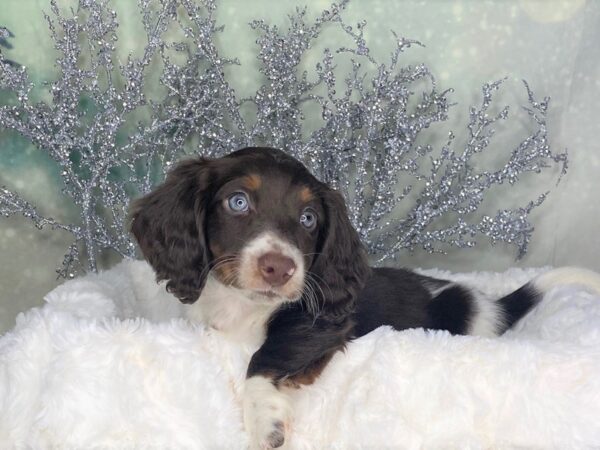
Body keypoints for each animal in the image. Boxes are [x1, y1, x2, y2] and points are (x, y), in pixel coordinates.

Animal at [130, 146, 596, 448]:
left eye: (309, 218)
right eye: (238, 202)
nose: (279, 268)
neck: (245, 307)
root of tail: (492, 305)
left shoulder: (323, 322)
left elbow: (264, 357)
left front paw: (265, 420)